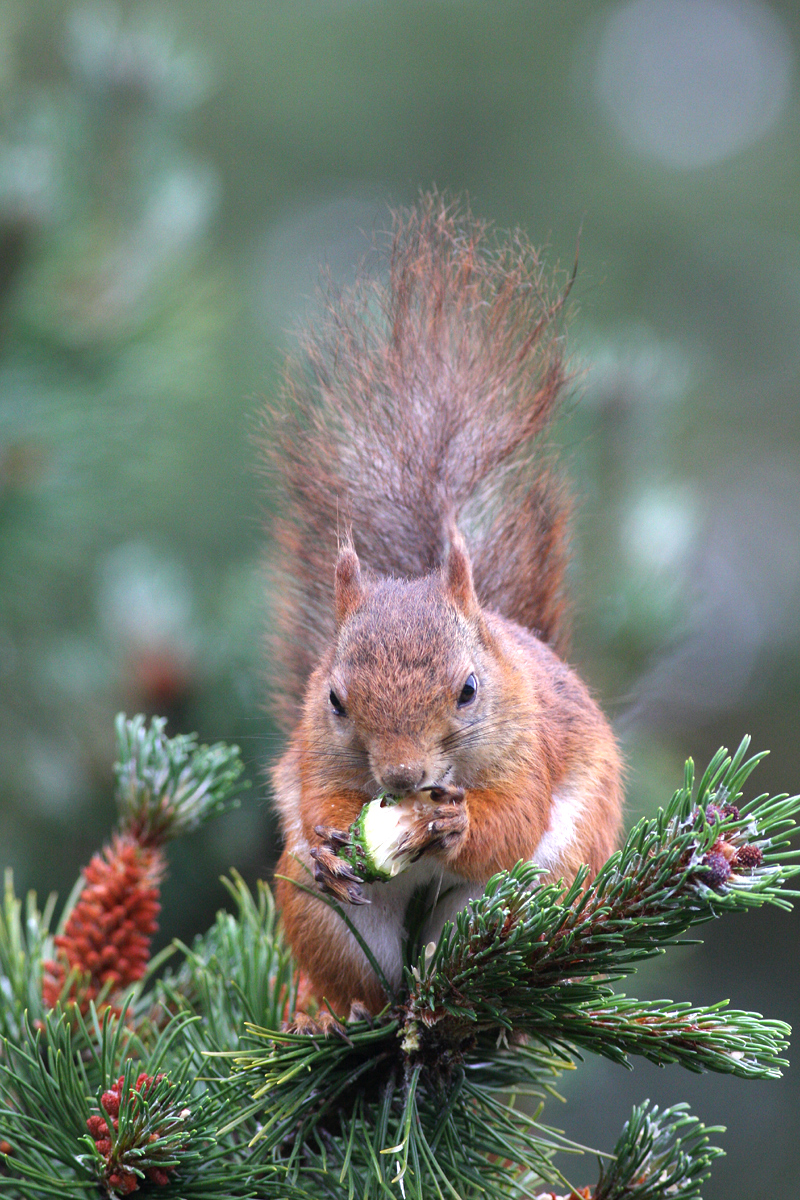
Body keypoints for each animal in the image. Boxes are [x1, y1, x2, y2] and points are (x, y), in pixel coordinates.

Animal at [266, 192, 623, 1017]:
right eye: (334, 699)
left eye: (468, 690)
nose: (400, 780)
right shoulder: (314, 751)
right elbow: (314, 795)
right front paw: (330, 840)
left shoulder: (530, 746)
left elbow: (514, 816)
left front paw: (460, 821)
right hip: (324, 917)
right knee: (369, 975)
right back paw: (346, 1011)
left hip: (539, 892)